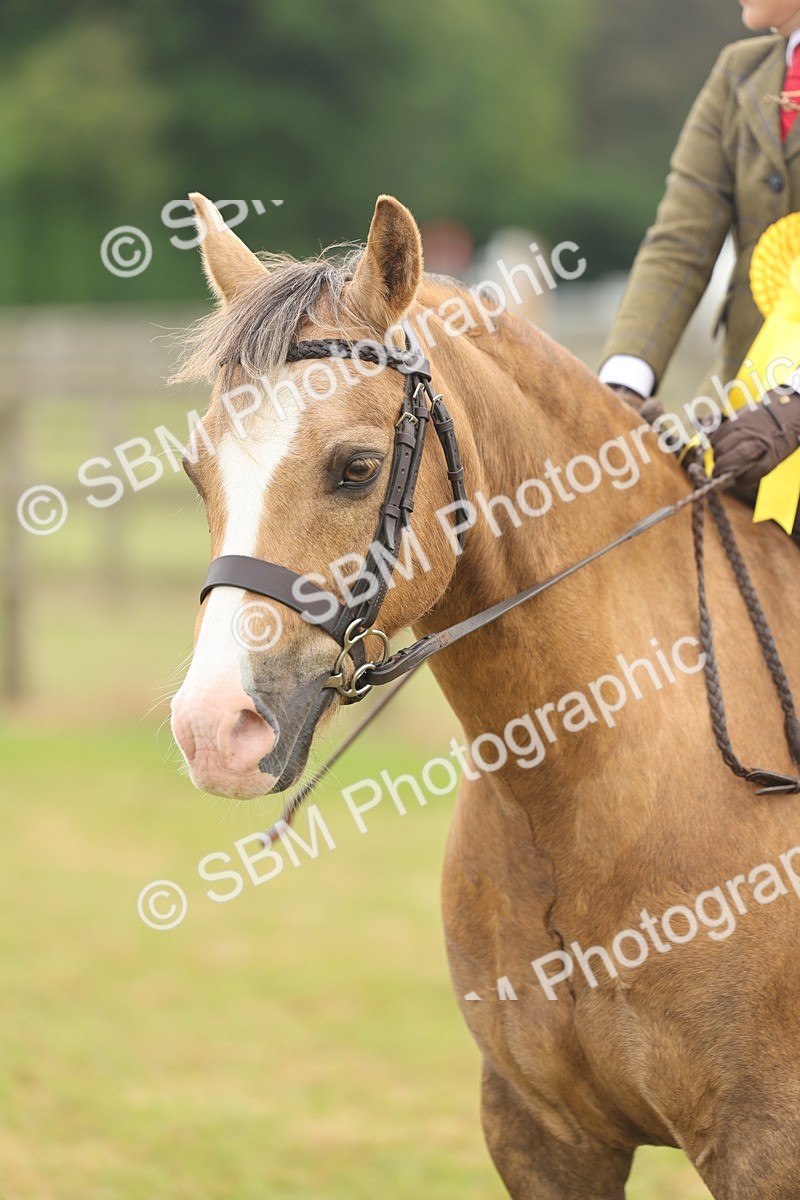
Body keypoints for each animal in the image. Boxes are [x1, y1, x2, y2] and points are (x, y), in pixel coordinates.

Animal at [170, 192, 800, 1198]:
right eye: (199, 470)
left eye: (355, 467)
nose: (210, 729)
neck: (581, 790)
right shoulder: (544, 1138)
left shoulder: (765, 1145)